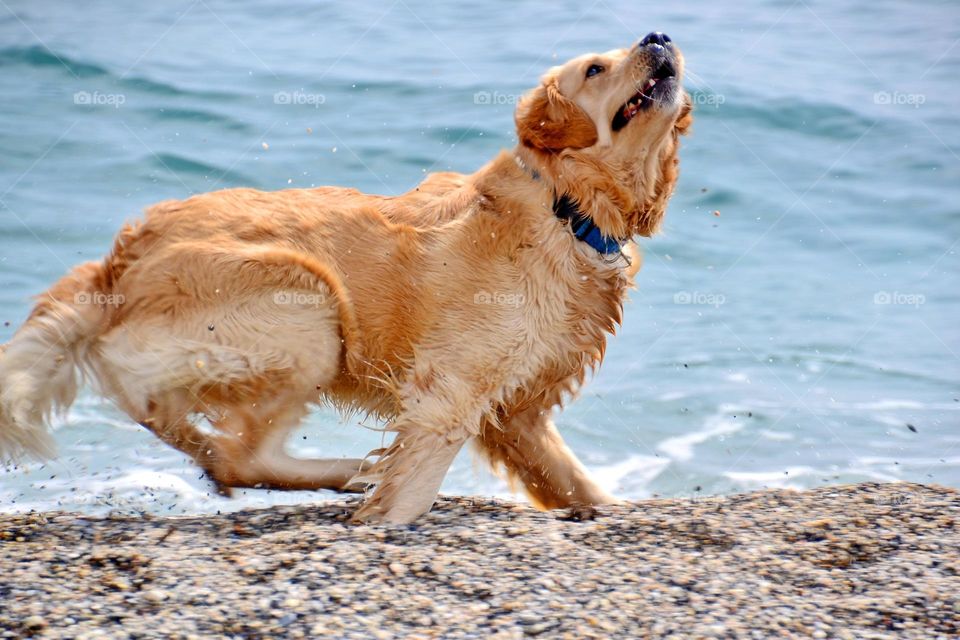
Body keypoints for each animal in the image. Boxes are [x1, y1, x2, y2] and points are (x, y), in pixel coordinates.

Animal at [0, 32, 688, 524]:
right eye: (595, 69)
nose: (659, 35)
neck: (566, 207)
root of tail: (119, 261)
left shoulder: (519, 412)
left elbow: (572, 479)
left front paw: (614, 509)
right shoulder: (453, 388)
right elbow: (416, 479)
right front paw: (387, 516)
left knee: (206, 447)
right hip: (310, 309)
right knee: (238, 455)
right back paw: (350, 469)